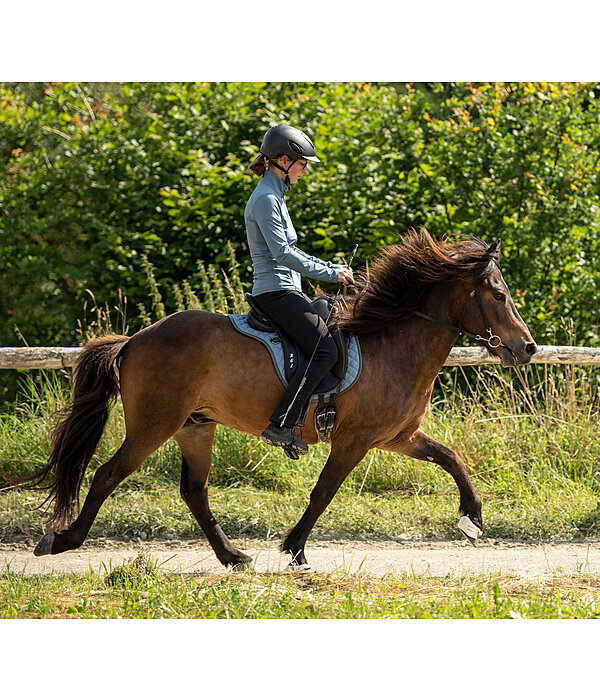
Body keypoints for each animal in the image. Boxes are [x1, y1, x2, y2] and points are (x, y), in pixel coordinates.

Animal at [28, 228, 536, 568]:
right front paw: (295, 548)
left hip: (195, 426)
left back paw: (232, 556)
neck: (392, 345)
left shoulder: (398, 437)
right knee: (107, 474)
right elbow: (324, 491)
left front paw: (472, 517)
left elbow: (451, 458)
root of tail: (134, 339)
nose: (528, 347)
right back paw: (63, 539)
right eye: (498, 294)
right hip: (155, 424)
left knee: (193, 491)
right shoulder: (354, 441)